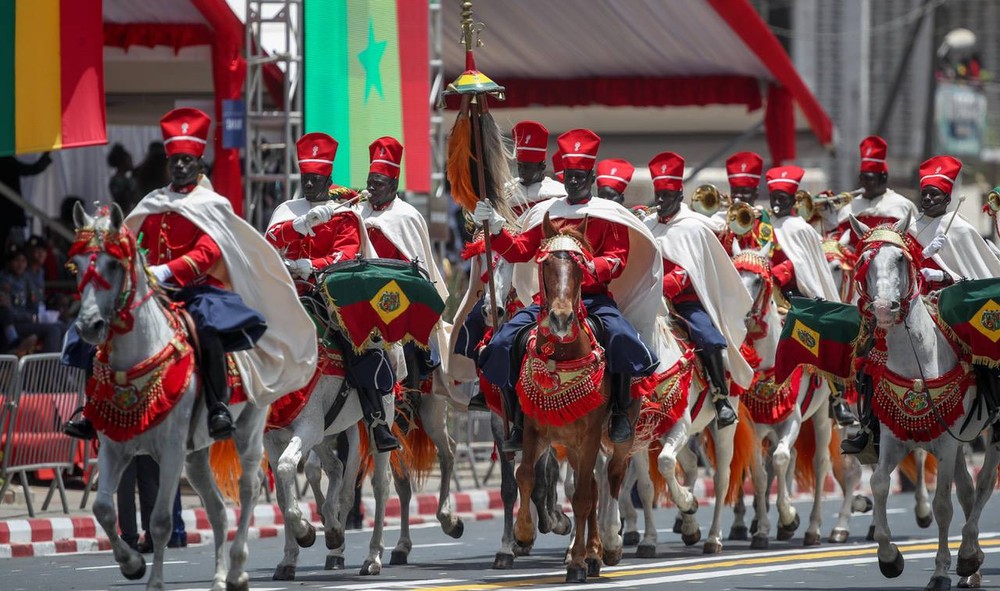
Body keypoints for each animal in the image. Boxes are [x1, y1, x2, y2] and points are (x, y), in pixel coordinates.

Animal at [70, 205, 270, 591]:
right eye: (77, 262)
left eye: (114, 264)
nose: (89, 326)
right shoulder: (114, 445)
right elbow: (103, 509)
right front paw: (131, 563)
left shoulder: (171, 449)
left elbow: (161, 520)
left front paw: (154, 581)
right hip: (196, 454)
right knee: (217, 509)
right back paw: (219, 577)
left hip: (248, 429)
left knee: (249, 489)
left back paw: (237, 571)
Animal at [512, 213, 636, 584]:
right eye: (547, 264)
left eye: (579, 267)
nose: (561, 318)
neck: (562, 356)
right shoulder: (535, 430)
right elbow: (525, 475)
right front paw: (523, 532)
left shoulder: (591, 435)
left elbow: (582, 498)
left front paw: (578, 563)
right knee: (593, 486)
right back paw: (592, 552)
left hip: (615, 439)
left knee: (610, 480)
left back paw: (604, 548)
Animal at [848, 214, 996, 591]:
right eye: (863, 261)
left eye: (900, 259)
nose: (884, 308)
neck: (918, 361)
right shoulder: (893, 438)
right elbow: (879, 483)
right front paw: (889, 558)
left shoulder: (945, 443)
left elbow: (942, 504)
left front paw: (941, 571)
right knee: (969, 490)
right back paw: (971, 569)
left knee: (984, 484)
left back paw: (968, 554)